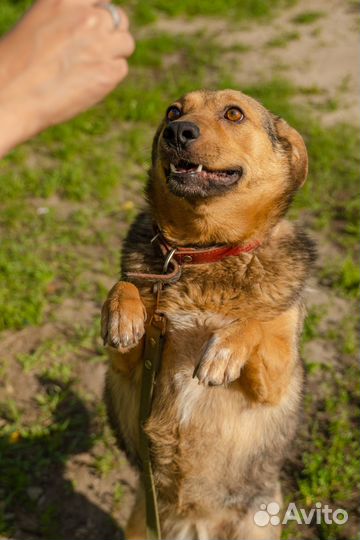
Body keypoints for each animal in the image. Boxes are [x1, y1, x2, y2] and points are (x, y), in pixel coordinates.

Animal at [101, 89, 316, 540]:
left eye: (234, 114)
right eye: (172, 111)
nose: (177, 132)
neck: (203, 252)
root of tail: (192, 521)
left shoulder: (277, 378)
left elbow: (254, 325)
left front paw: (223, 352)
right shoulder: (128, 367)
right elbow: (125, 285)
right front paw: (123, 315)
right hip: (140, 523)